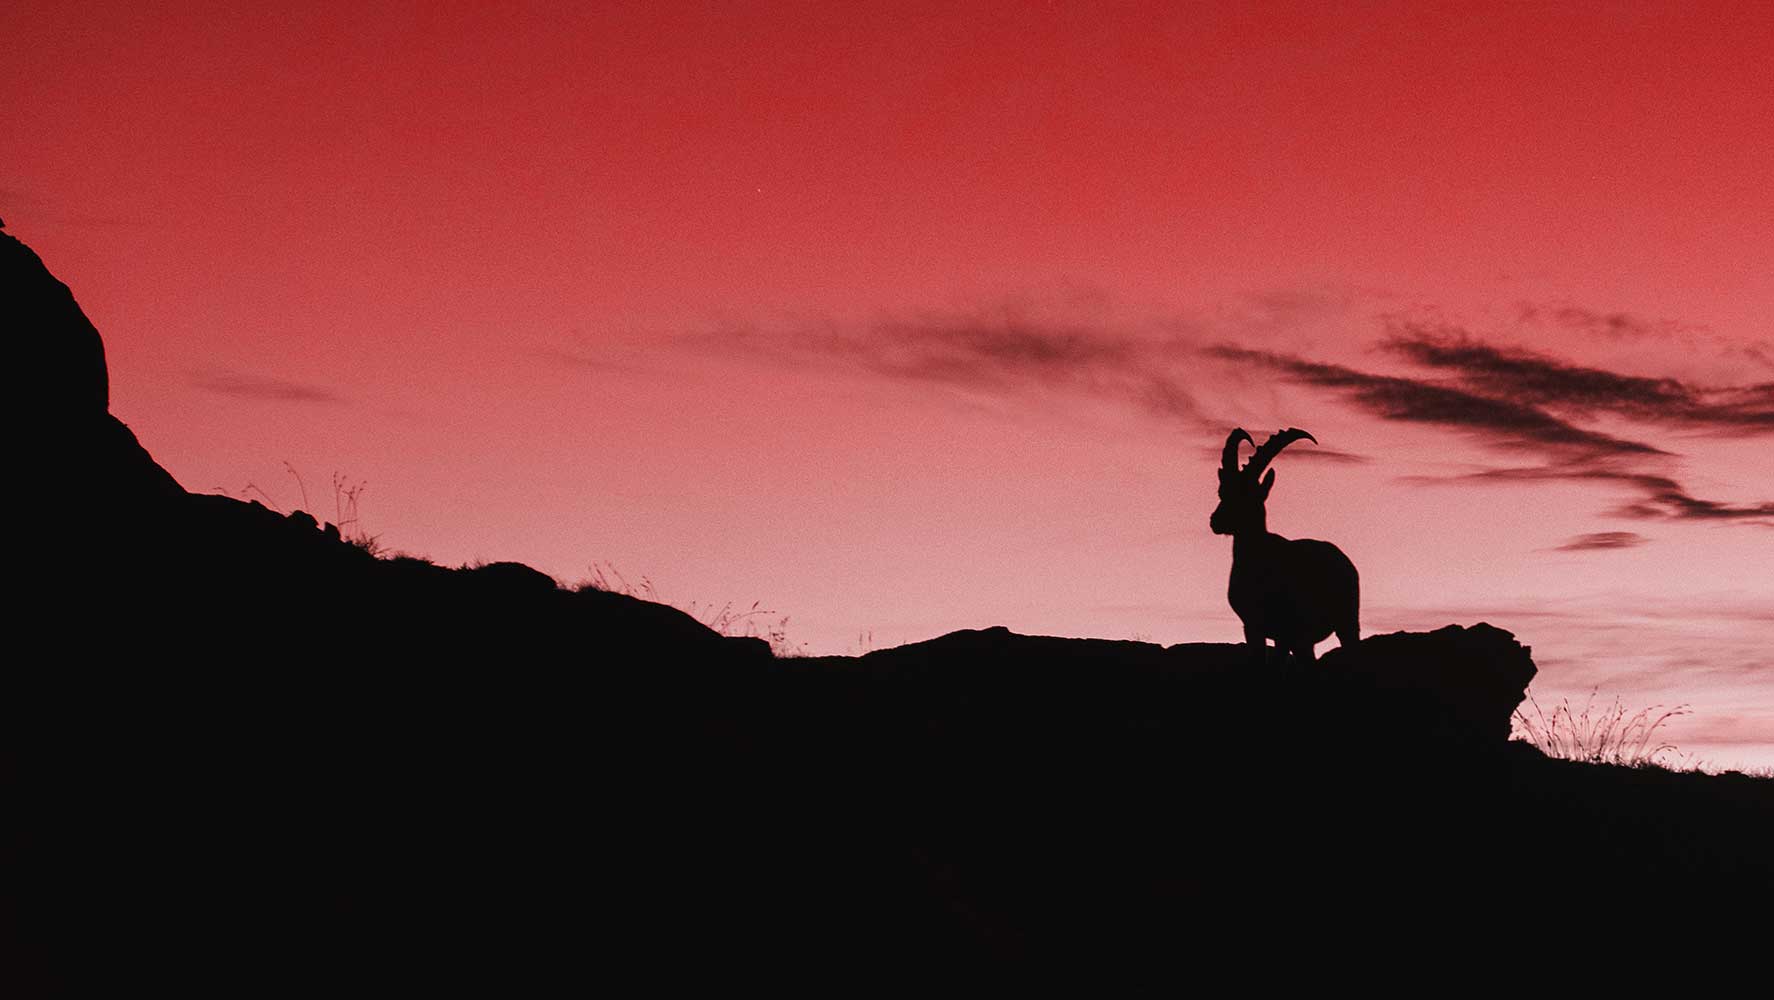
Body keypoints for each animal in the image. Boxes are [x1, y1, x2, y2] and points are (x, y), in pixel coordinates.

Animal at [1211, 428, 1360, 665]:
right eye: (1221, 492)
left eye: (1249, 496)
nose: (1216, 521)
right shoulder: (1254, 627)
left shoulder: (1284, 630)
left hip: (1345, 622)